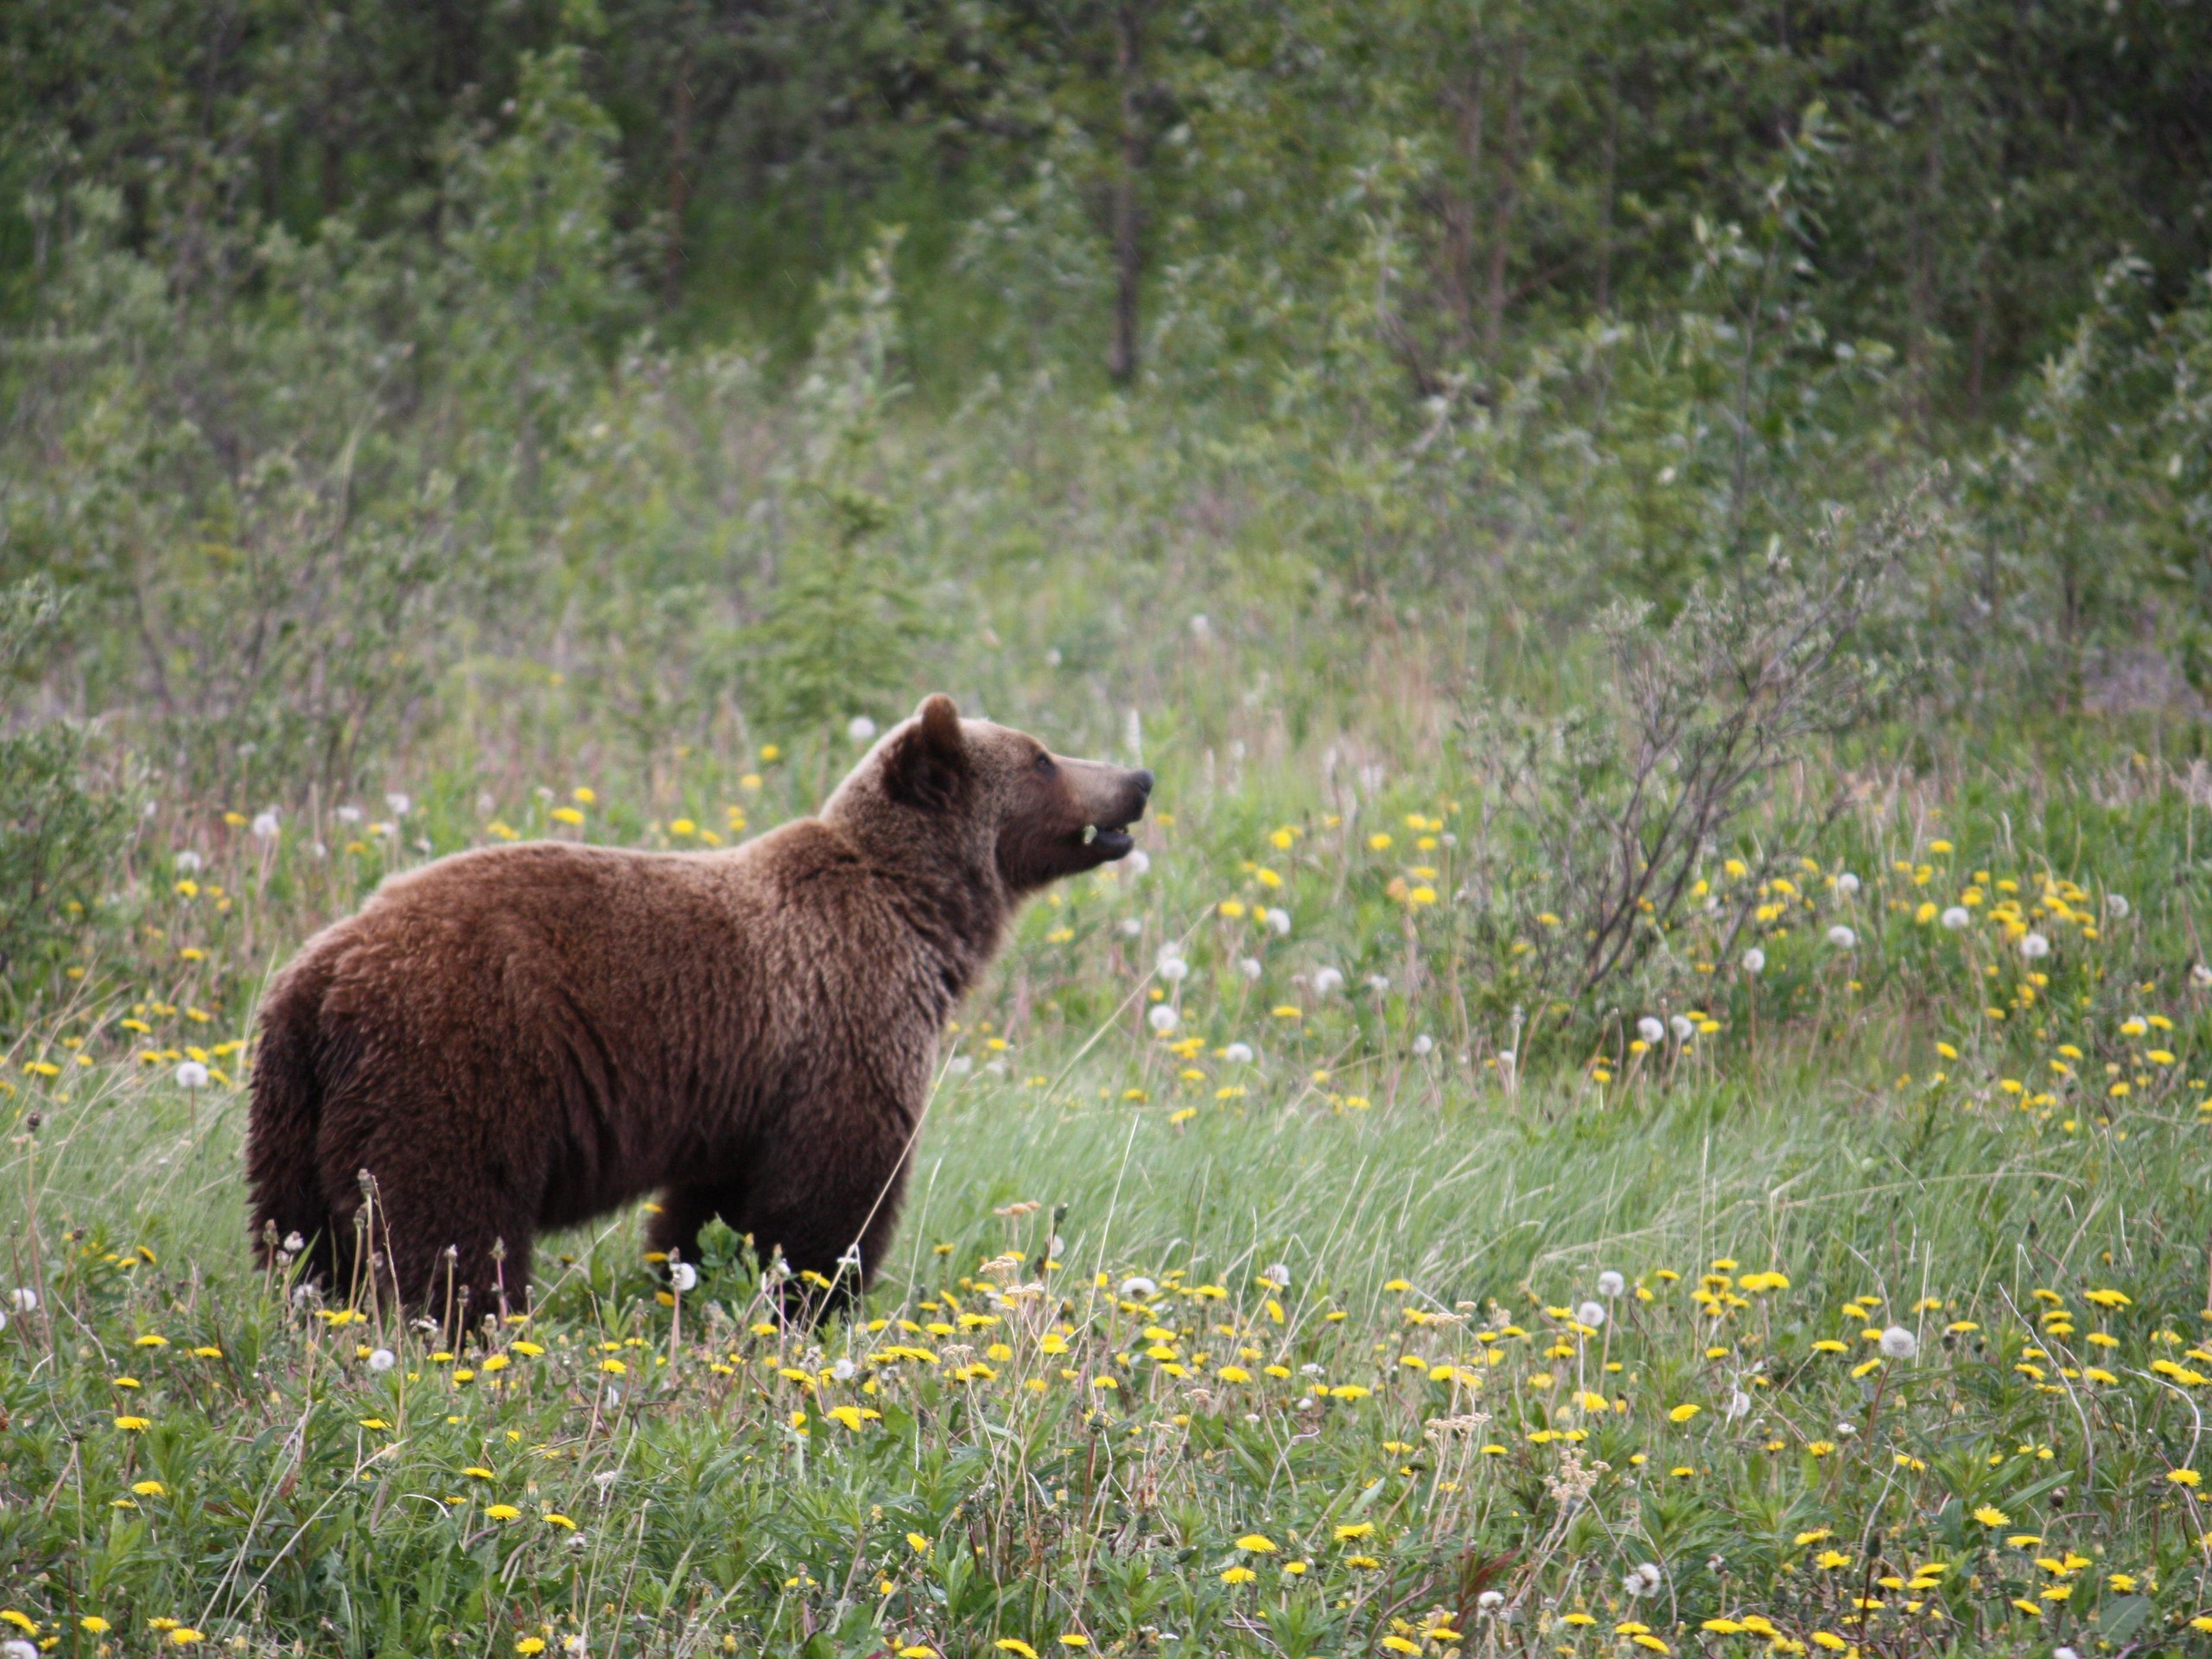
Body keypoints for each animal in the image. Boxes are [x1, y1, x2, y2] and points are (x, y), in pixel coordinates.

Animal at [249, 703, 1150, 1327]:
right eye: (1042, 757)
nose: (1137, 779)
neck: (921, 917)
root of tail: (321, 975)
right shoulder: (844, 1023)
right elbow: (829, 1197)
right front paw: (813, 1302)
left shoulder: (744, 1087)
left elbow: (710, 1209)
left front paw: (690, 1284)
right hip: (455, 1063)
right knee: (449, 1224)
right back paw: (468, 1328)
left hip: (295, 1109)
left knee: (299, 1241)